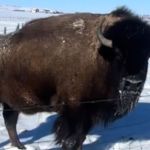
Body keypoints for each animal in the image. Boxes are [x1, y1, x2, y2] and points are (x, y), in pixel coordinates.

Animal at [0, 6, 150, 149]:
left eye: (146, 55)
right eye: (118, 53)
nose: (133, 83)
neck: (101, 57)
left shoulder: (89, 114)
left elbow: (81, 138)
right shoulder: (74, 110)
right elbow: (72, 140)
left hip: (10, 104)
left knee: (10, 122)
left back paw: (20, 146)